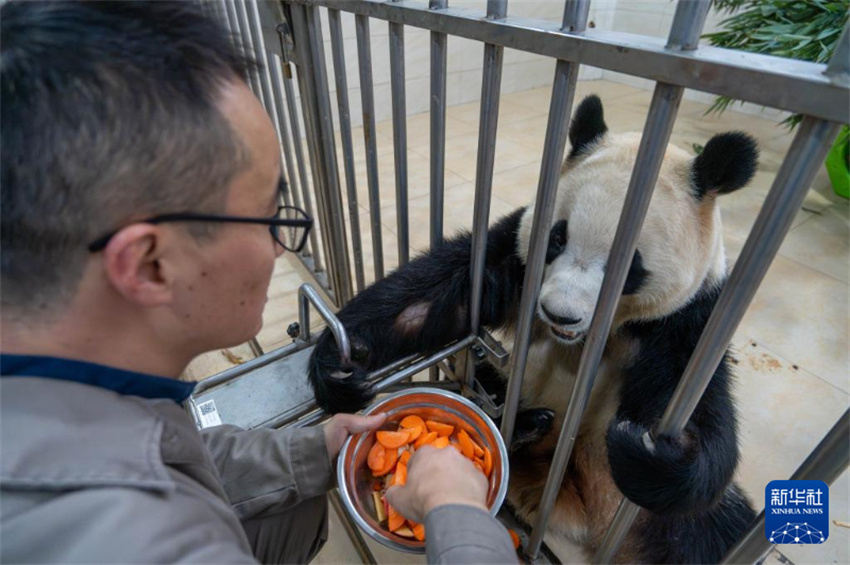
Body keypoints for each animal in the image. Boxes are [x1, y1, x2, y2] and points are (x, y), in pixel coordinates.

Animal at [310, 94, 756, 560]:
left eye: (629, 266)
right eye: (558, 238)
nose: (560, 314)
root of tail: (564, 504)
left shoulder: (687, 318)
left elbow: (692, 399)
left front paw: (651, 449)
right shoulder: (521, 258)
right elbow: (439, 294)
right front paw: (340, 359)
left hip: (647, 514)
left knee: (705, 535)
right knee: (478, 382)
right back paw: (527, 424)